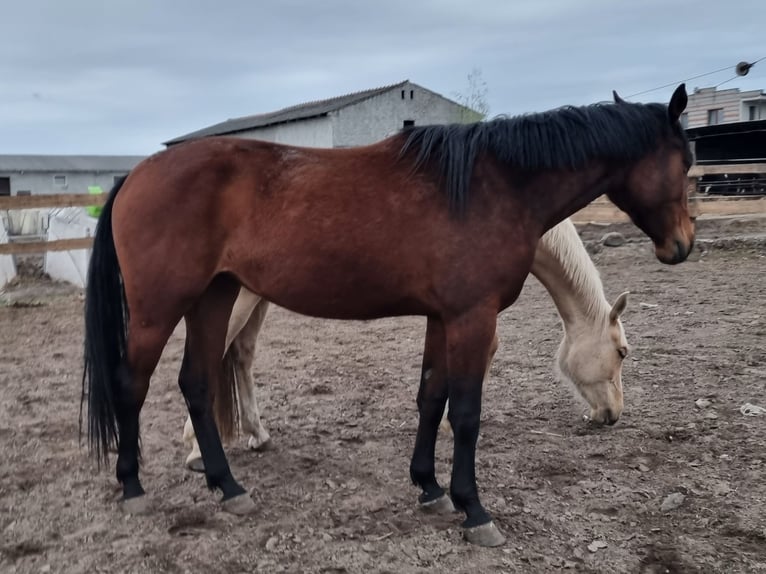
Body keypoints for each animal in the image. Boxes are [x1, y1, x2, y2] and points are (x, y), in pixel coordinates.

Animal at [183, 218, 632, 470]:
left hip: (256, 300)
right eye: (622, 352)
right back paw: (196, 452)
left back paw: (257, 434)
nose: (612, 415)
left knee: (241, 358)